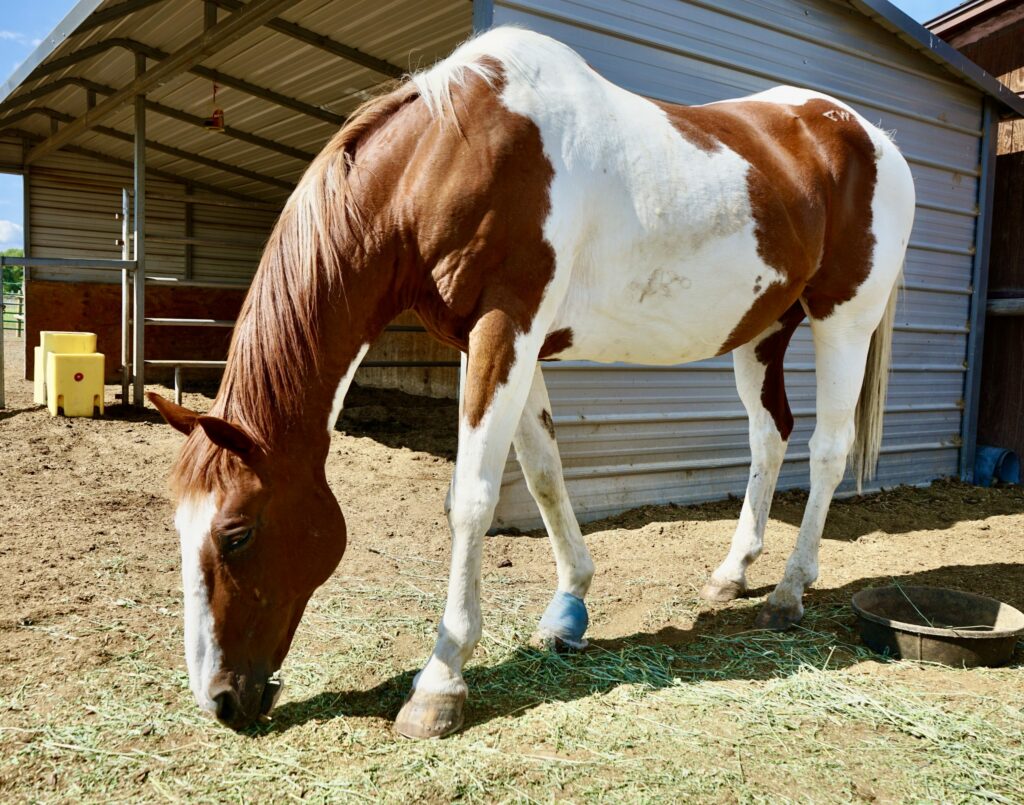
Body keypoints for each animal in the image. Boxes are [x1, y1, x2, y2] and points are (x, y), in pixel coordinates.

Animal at [149, 28, 913, 737]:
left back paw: (790, 590)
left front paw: (441, 681)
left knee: (825, 450)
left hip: (842, 318)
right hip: (763, 330)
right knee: (768, 437)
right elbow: (543, 471)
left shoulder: (505, 326)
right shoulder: (491, 341)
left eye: (236, 534)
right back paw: (733, 574)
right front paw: (569, 606)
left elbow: (472, 498)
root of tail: (872, 136)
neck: (445, 156)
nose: (220, 701)